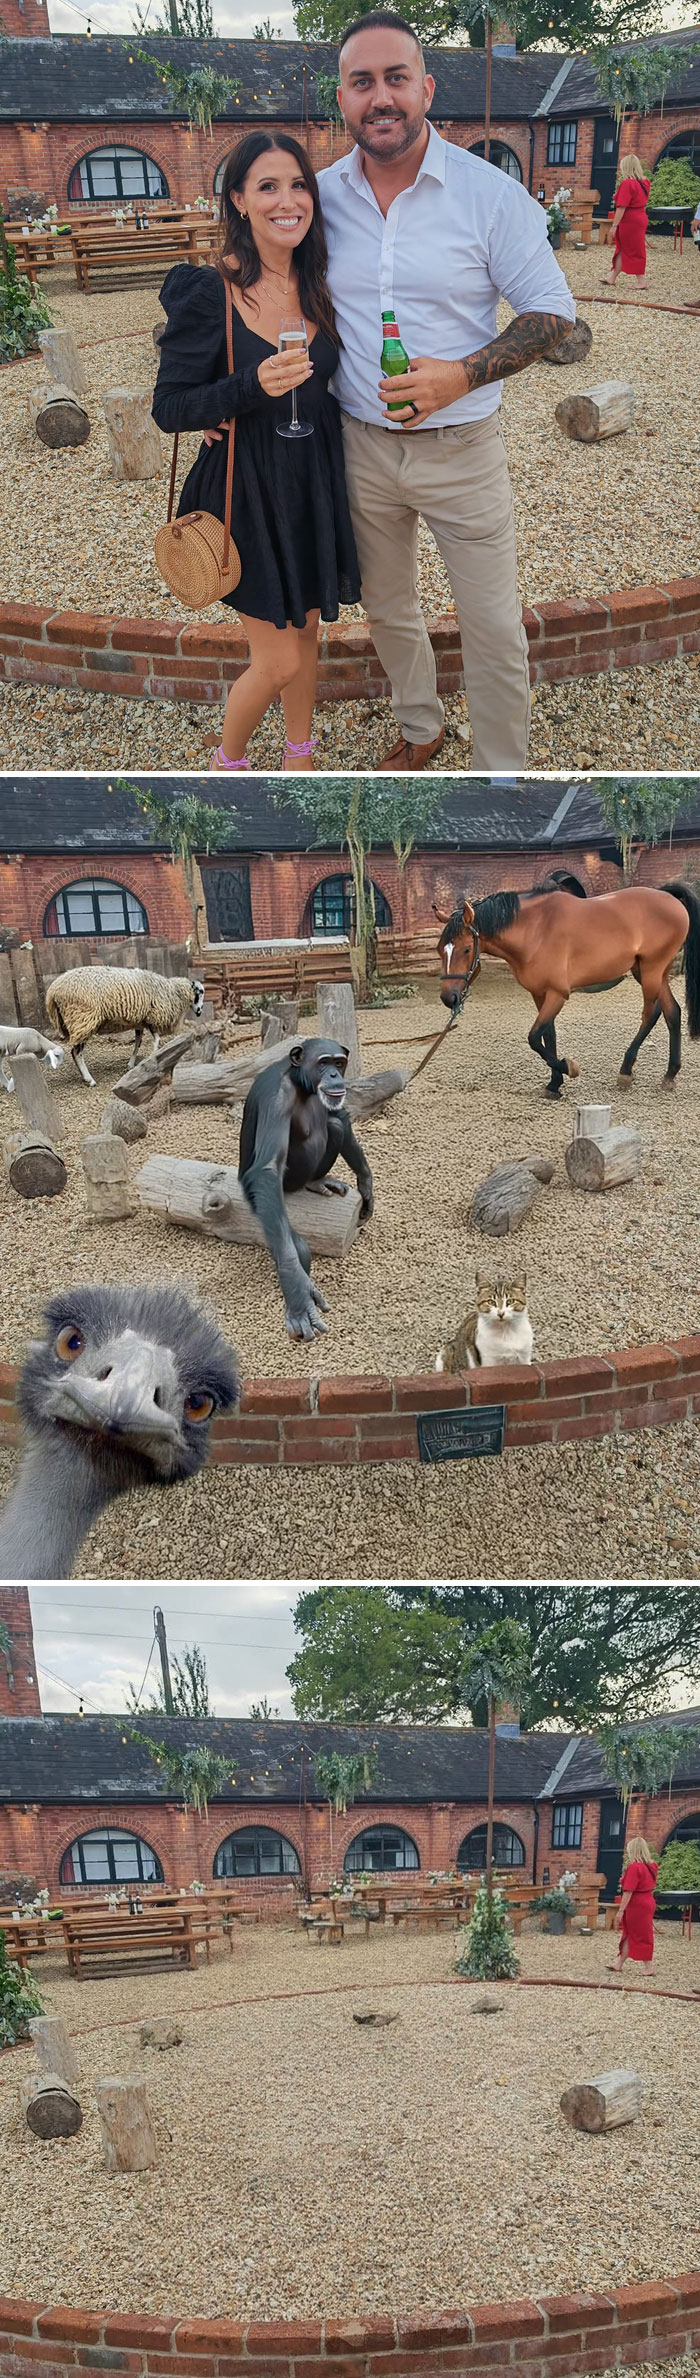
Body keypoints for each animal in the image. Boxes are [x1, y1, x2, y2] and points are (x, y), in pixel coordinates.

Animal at [44, 967, 205, 1086]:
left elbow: (138, 1042)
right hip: (82, 1019)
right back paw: (89, 1079)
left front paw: (131, 1064)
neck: (173, 992)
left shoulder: (140, 1022)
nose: (200, 1011)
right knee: (76, 1052)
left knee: (75, 1052)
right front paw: (154, 1057)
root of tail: (52, 992)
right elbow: (156, 1040)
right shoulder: (153, 1017)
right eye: (199, 993)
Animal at [433, 881, 700, 1097]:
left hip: (652, 970)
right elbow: (548, 1035)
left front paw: (568, 1068)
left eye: (467, 949)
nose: (448, 997)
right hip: (650, 971)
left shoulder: (558, 994)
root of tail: (668, 896)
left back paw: (626, 1071)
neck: (535, 930)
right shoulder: (540, 994)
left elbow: (534, 1038)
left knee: (651, 1014)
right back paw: (670, 1075)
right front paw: (554, 1084)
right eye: (439, 949)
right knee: (672, 1012)